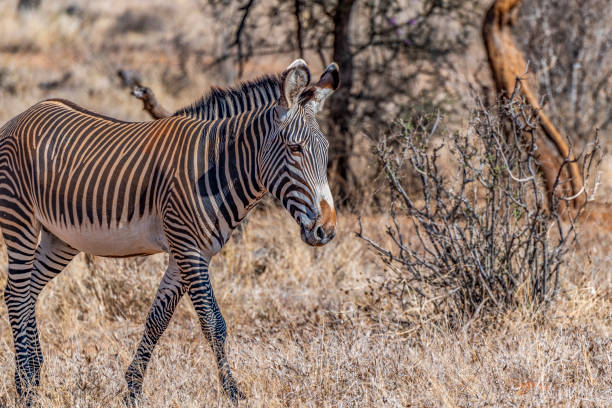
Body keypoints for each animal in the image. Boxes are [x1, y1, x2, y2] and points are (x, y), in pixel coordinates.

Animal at [0, 59, 340, 406]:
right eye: (295, 148)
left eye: (326, 150)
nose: (326, 230)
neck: (216, 166)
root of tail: (24, 114)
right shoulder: (188, 248)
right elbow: (213, 322)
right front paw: (233, 392)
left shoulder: (187, 253)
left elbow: (157, 320)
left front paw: (133, 389)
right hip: (20, 221)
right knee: (17, 293)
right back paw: (26, 387)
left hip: (60, 239)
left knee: (24, 292)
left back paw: (32, 376)